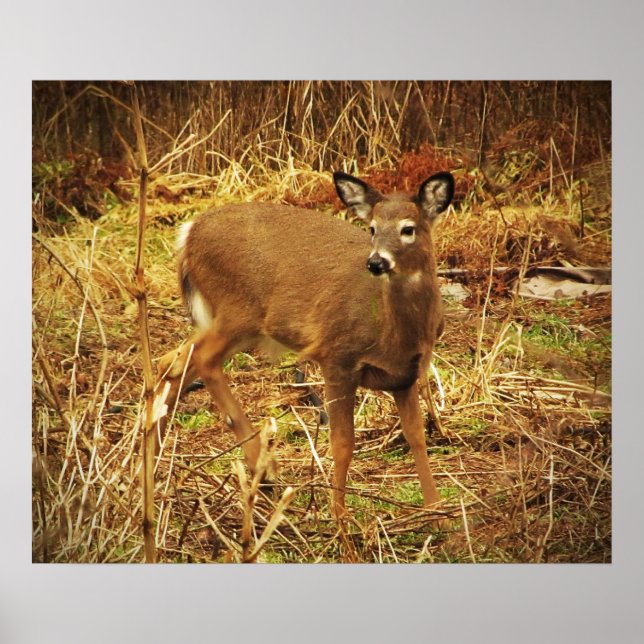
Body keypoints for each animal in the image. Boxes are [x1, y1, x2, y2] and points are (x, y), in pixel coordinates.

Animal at [156, 170, 455, 520]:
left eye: (408, 229)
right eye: (372, 228)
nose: (376, 262)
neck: (393, 332)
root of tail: (189, 232)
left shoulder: (406, 374)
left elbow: (417, 436)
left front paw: (436, 510)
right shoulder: (337, 355)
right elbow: (343, 443)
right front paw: (339, 515)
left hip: (232, 322)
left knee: (172, 363)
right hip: (237, 309)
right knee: (201, 360)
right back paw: (264, 469)